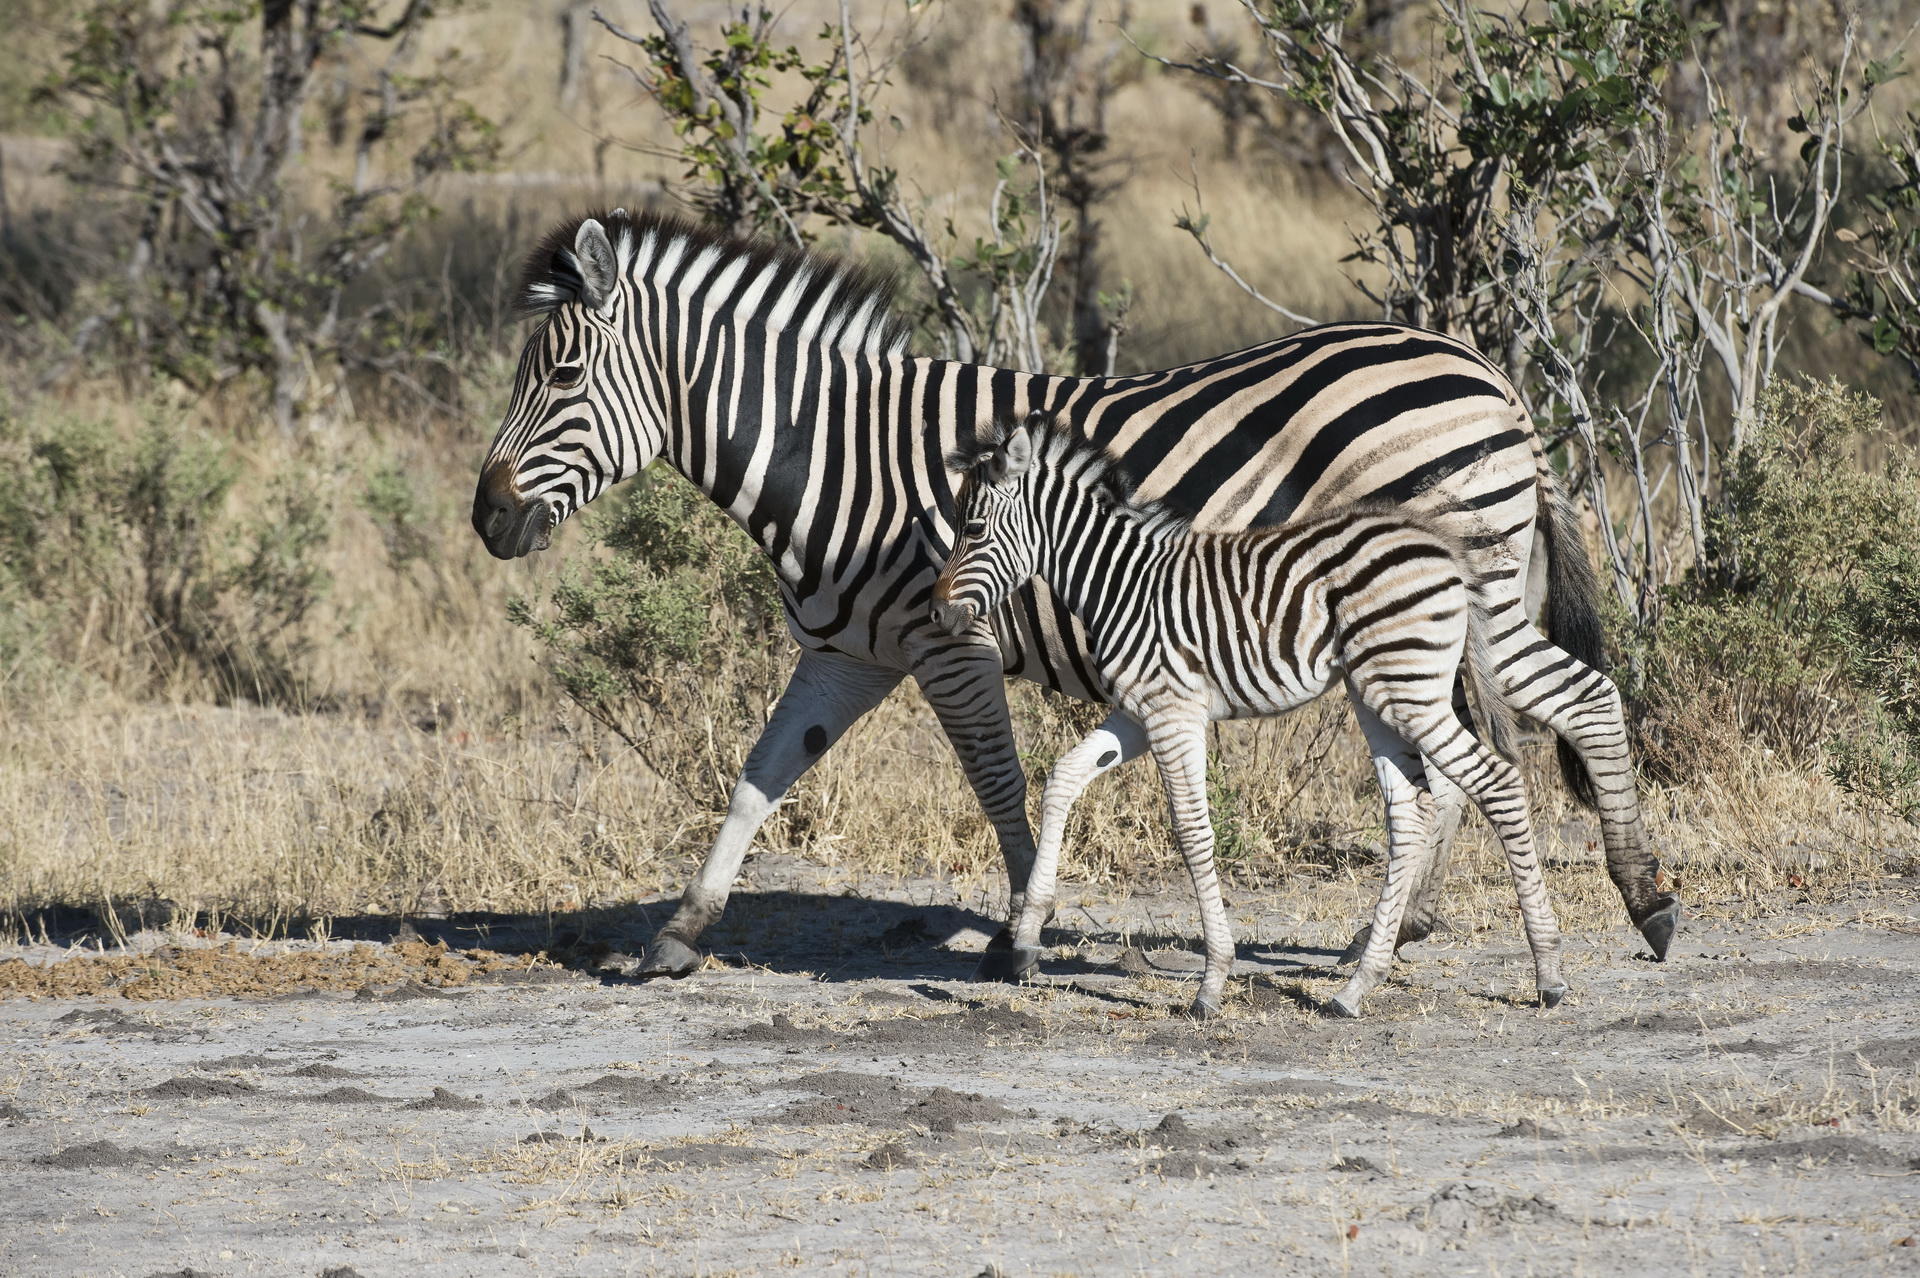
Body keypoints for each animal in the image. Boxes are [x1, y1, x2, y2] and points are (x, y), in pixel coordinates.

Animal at [931, 412, 1566, 1018]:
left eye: (973, 529)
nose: (936, 614)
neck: (1122, 584)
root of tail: (1443, 546)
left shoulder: (1172, 712)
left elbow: (1192, 830)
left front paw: (1212, 981)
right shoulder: (1139, 712)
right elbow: (1063, 778)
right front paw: (1026, 940)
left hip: (1409, 688)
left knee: (1496, 779)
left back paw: (1548, 973)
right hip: (1376, 693)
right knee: (1408, 810)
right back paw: (1358, 986)